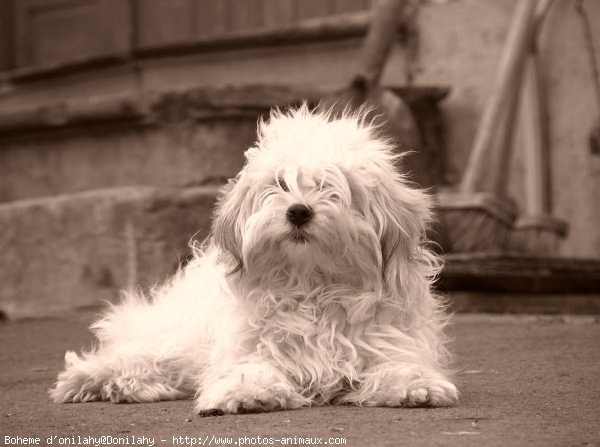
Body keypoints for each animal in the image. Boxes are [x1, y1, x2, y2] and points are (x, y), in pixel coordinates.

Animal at [49, 105, 458, 412]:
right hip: (176, 337)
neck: (312, 288)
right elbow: (252, 368)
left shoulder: (387, 342)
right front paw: (249, 392)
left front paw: (416, 386)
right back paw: (92, 380)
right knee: (133, 352)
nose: (298, 211)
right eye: (280, 184)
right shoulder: (250, 346)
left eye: (330, 187)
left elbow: (398, 366)